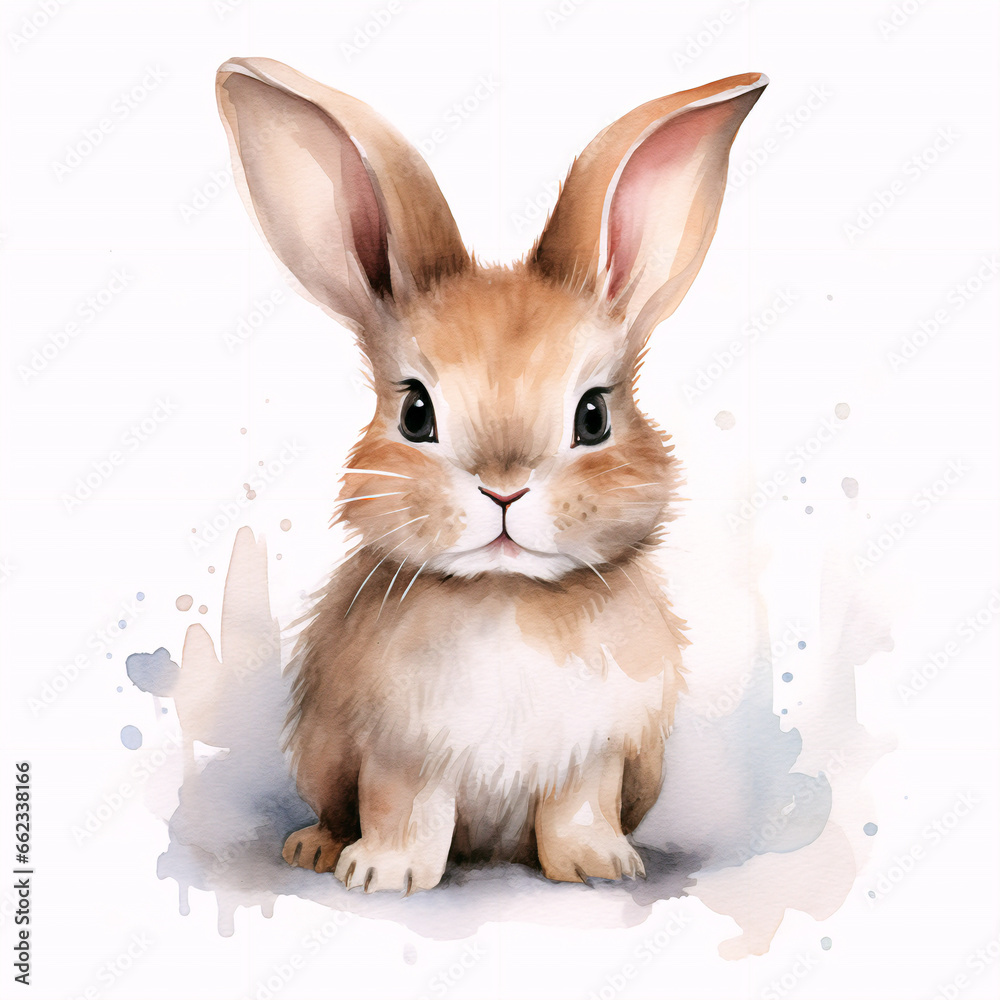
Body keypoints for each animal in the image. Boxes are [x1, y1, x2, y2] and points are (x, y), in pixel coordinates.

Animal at [216, 57, 766, 893]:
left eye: (593, 417)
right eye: (416, 413)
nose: (504, 489)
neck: (506, 595)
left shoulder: (595, 755)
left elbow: (576, 809)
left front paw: (601, 867)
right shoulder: (397, 752)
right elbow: (404, 811)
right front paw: (381, 875)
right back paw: (313, 848)